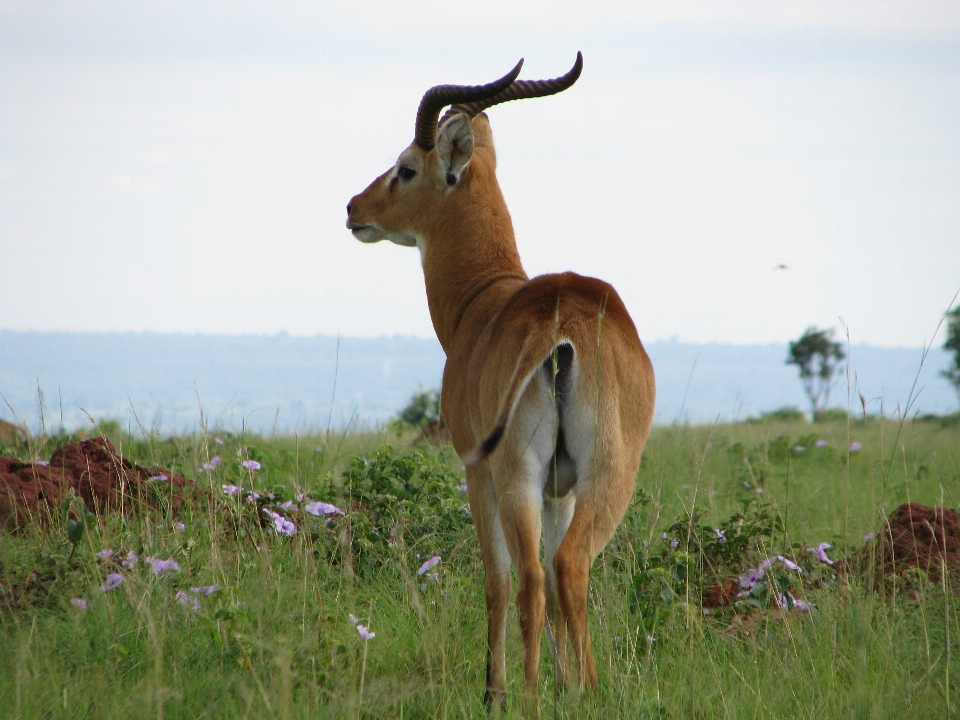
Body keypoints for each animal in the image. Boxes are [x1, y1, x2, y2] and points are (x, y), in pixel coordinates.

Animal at [344, 53, 652, 712]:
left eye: (407, 167)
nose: (354, 207)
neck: (482, 304)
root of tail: (564, 324)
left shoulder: (475, 469)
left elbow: (495, 579)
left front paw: (496, 689)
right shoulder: (560, 489)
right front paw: (565, 683)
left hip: (515, 473)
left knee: (533, 576)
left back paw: (528, 697)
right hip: (605, 475)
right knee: (571, 568)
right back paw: (587, 690)